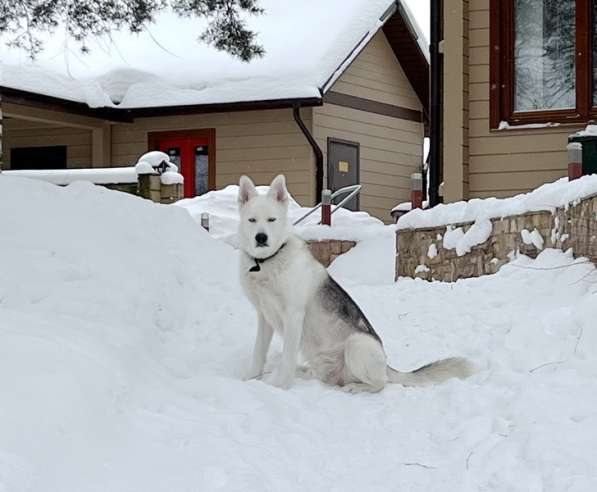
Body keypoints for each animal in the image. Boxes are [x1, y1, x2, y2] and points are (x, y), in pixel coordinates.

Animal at [235, 175, 472, 394]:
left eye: (271, 219)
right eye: (252, 220)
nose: (261, 237)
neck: (267, 262)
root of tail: (387, 366)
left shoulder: (293, 315)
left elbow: (287, 358)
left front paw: (280, 387)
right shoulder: (264, 316)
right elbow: (258, 353)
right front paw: (251, 378)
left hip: (356, 345)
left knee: (379, 384)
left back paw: (354, 388)